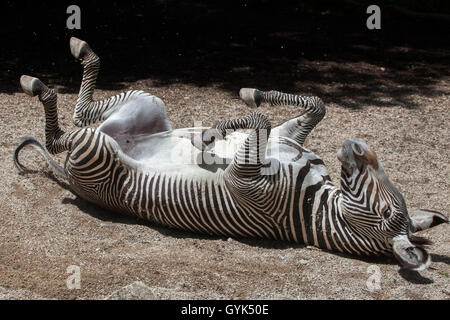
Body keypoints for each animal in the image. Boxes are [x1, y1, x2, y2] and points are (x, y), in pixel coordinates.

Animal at [14, 38, 446, 272]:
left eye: (387, 213)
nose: (358, 146)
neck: (313, 206)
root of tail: (71, 178)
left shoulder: (246, 179)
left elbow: (264, 119)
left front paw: (218, 130)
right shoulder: (285, 139)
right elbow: (313, 104)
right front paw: (243, 100)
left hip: (95, 150)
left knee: (60, 133)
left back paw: (37, 84)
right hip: (146, 103)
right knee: (80, 113)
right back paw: (71, 54)